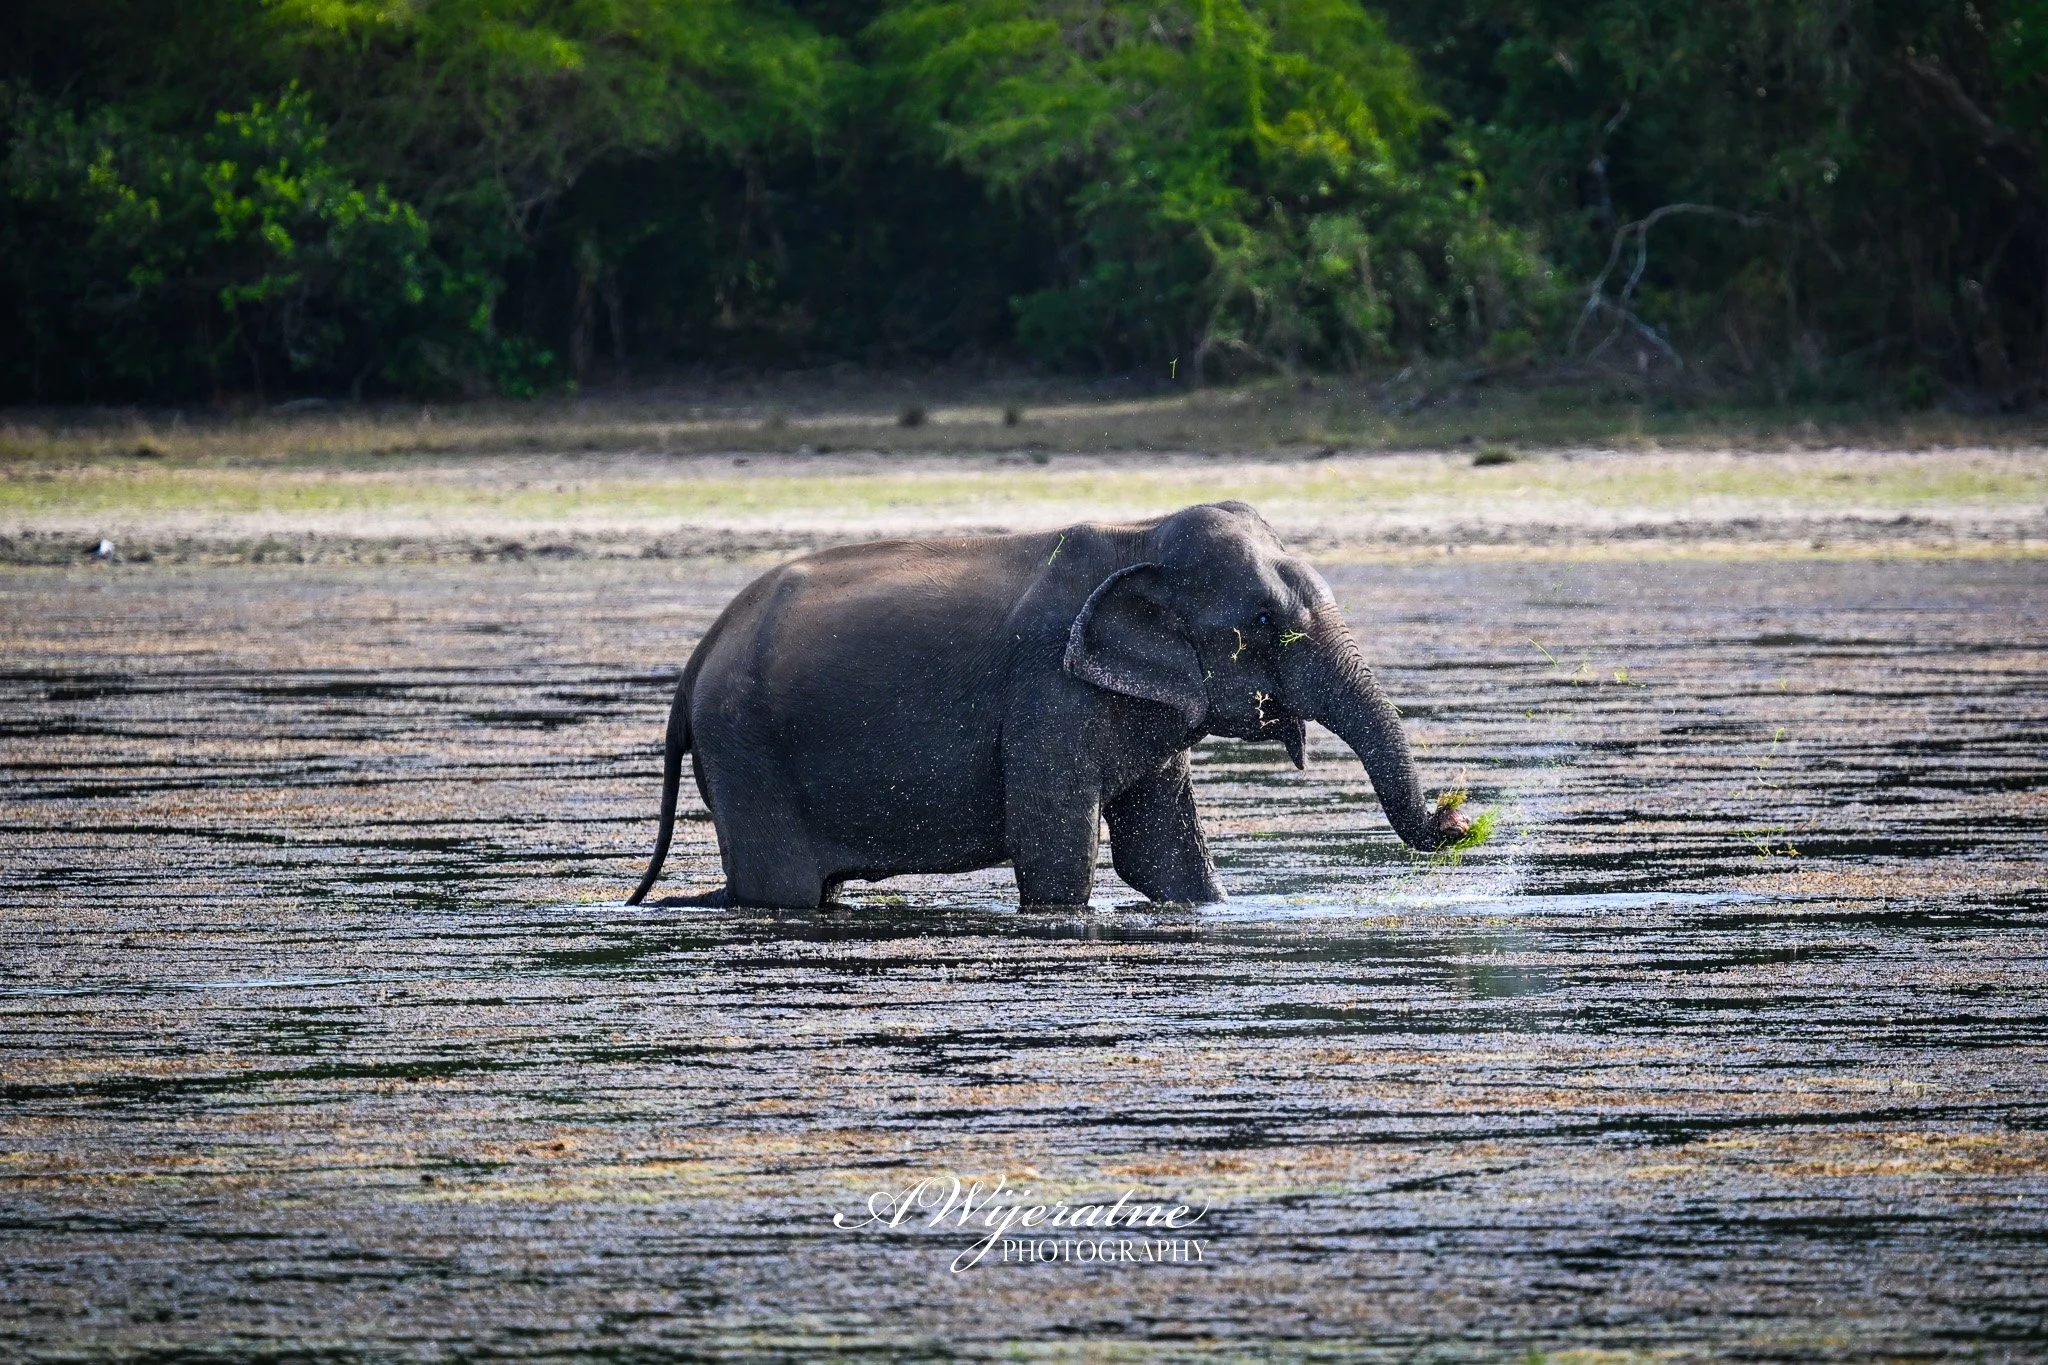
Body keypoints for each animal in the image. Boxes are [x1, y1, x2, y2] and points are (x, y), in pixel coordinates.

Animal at [628, 501, 1470, 910]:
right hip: (747, 753)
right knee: (783, 891)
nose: (1460, 819)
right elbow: (1057, 859)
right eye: (1265, 622)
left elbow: (1166, 858)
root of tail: (694, 665)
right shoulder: (1047, 696)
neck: (1141, 535)